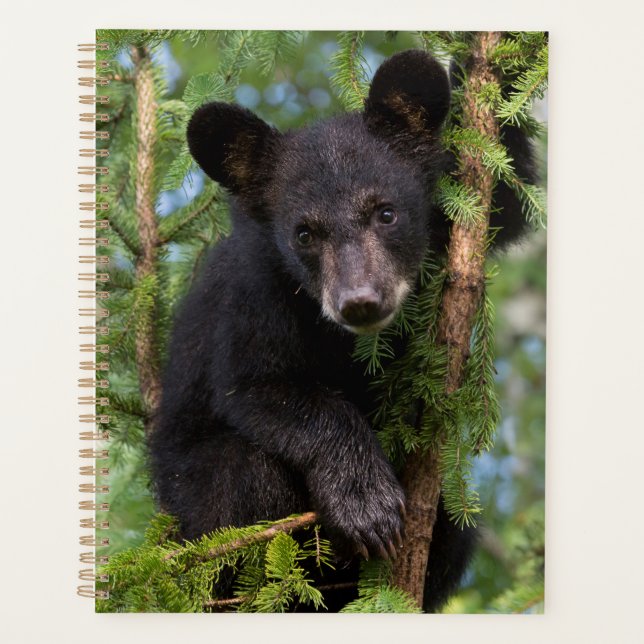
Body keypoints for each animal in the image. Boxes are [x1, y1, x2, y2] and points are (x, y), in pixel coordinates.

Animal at [149, 49, 535, 612]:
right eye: (304, 234)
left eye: (386, 212)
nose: (359, 302)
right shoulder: (254, 294)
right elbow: (259, 387)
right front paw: (366, 504)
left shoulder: (457, 217)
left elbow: (508, 184)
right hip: (190, 505)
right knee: (239, 479)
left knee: (456, 524)